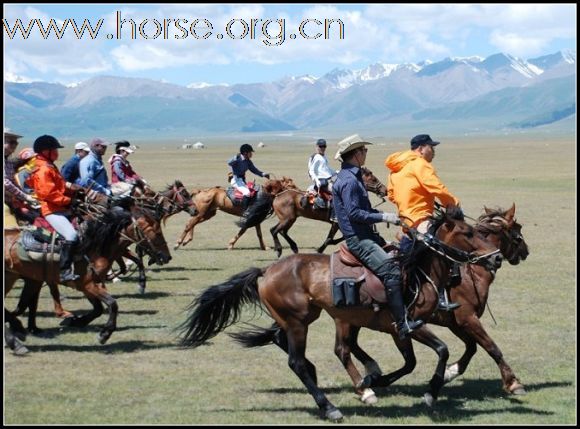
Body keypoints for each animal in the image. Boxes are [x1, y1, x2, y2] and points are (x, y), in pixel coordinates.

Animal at [5, 199, 172, 350]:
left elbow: (98, 309)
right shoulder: (88, 284)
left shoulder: (87, 286)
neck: (93, 248)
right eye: (157, 233)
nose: (167, 257)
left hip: (20, 278)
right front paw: (105, 334)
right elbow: (112, 304)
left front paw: (74, 321)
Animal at [179, 212, 500, 420]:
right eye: (469, 233)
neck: (417, 272)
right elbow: (441, 350)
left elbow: (411, 362)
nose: (495, 257)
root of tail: (266, 270)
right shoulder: (409, 325)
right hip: (299, 323)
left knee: (289, 343)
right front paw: (429, 391)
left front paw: (374, 381)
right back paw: (330, 406)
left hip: (305, 318)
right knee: (298, 361)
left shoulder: (398, 330)